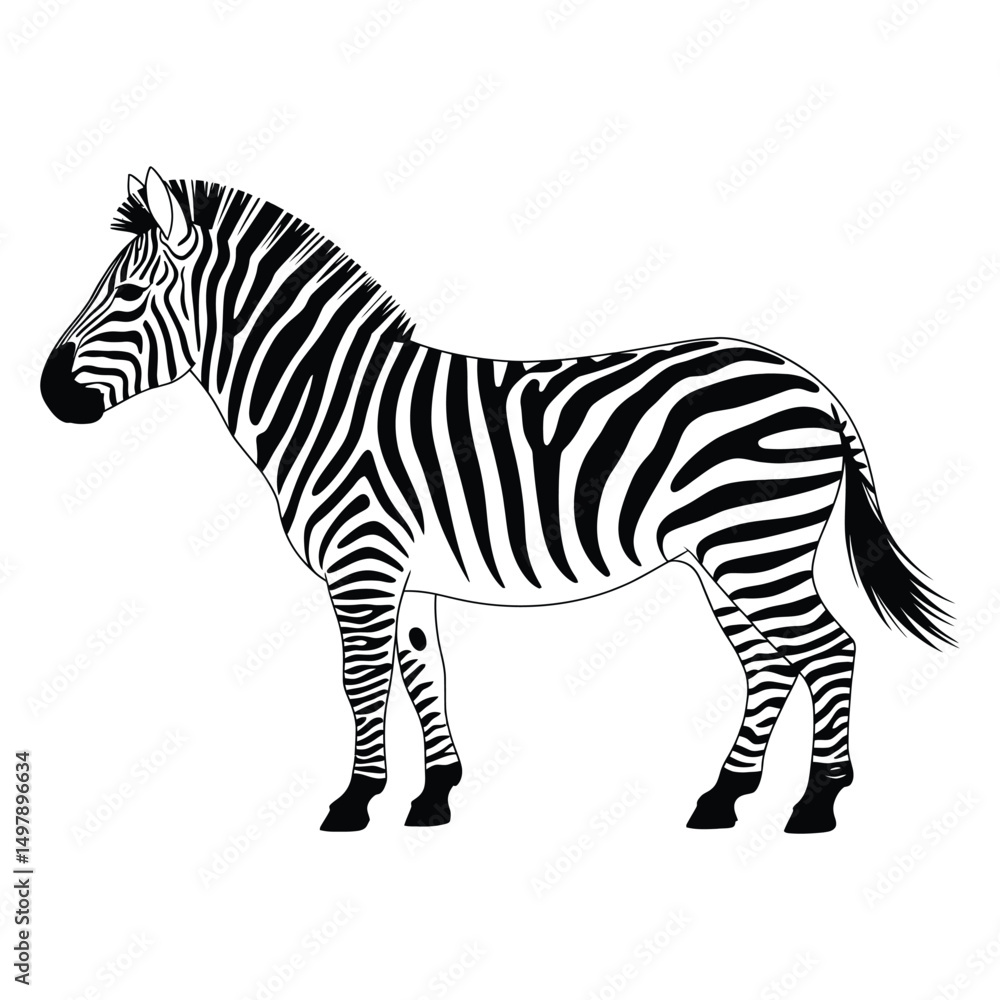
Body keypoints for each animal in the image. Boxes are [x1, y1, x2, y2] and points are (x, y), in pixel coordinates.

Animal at [42, 168, 953, 835]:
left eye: (127, 295)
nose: (49, 394)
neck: (326, 401)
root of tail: (812, 384)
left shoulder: (362, 562)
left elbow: (360, 679)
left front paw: (354, 803)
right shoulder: (404, 577)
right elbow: (422, 674)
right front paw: (434, 795)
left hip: (755, 545)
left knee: (828, 651)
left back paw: (815, 805)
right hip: (725, 557)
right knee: (769, 664)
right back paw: (723, 800)